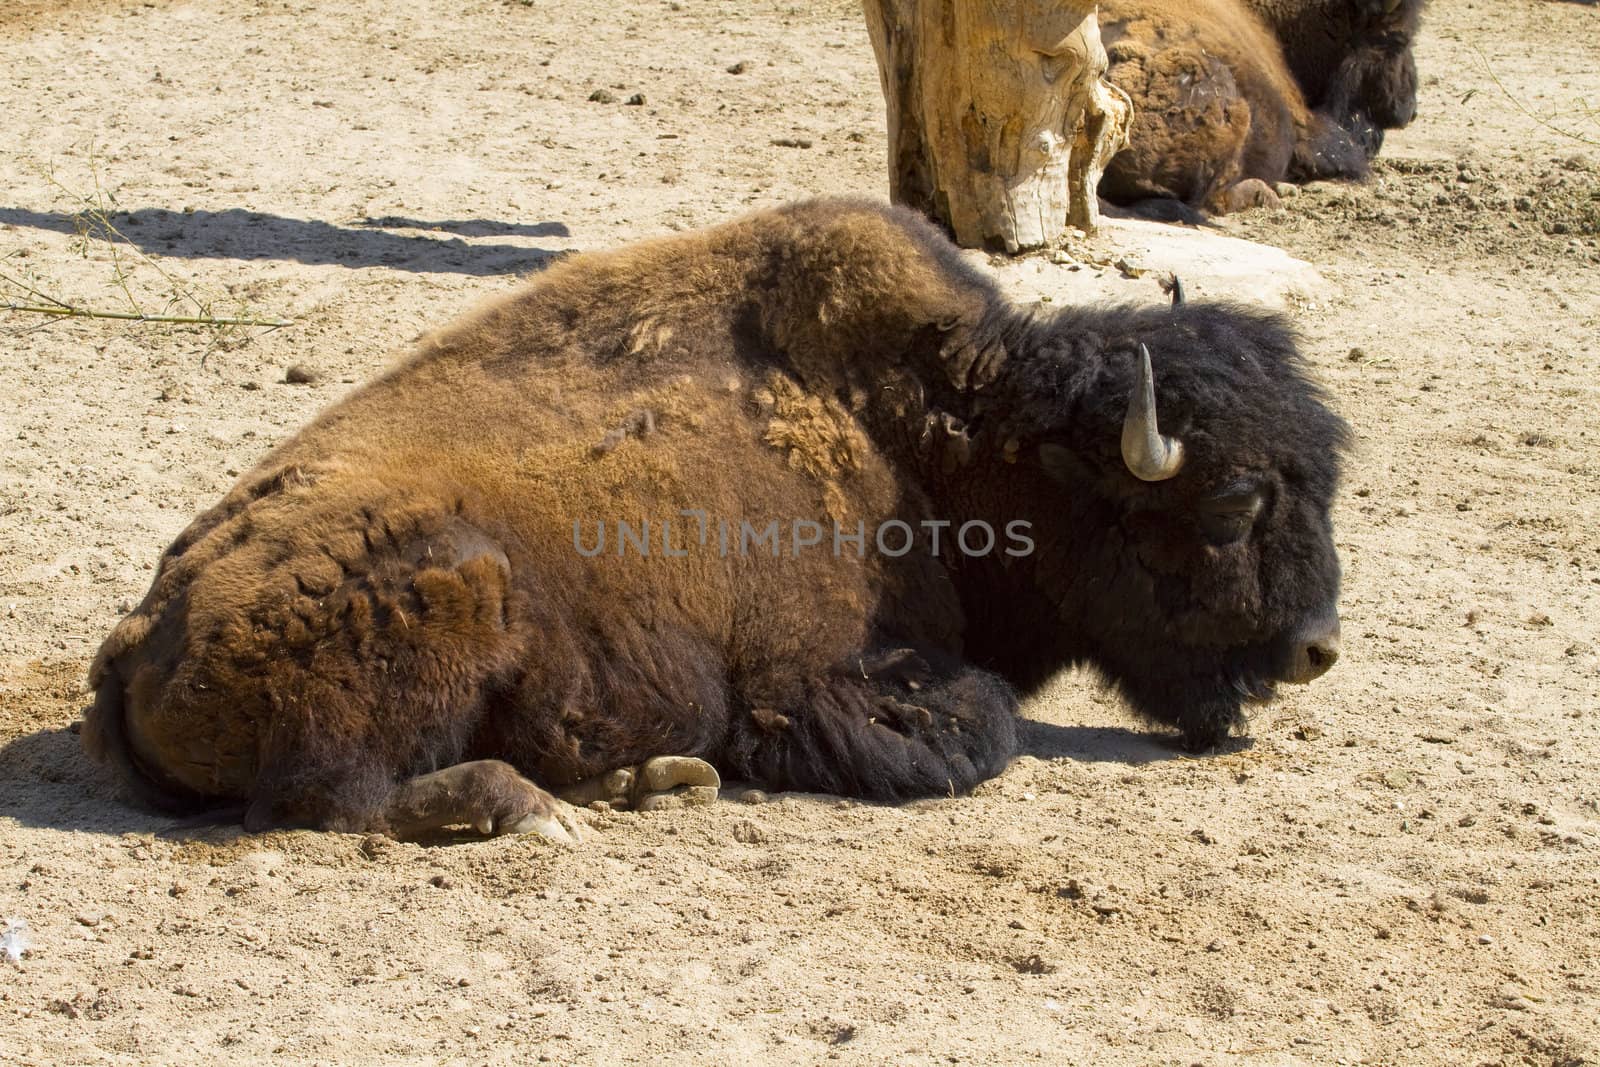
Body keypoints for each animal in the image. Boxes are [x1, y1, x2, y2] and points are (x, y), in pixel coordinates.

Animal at [81, 195, 1344, 838]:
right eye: (1229, 506)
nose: (1315, 649)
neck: (931, 432)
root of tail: (137, 639)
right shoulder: (810, 677)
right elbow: (980, 727)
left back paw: (641, 778)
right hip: (455, 584)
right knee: (341, 797)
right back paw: (542, 805)